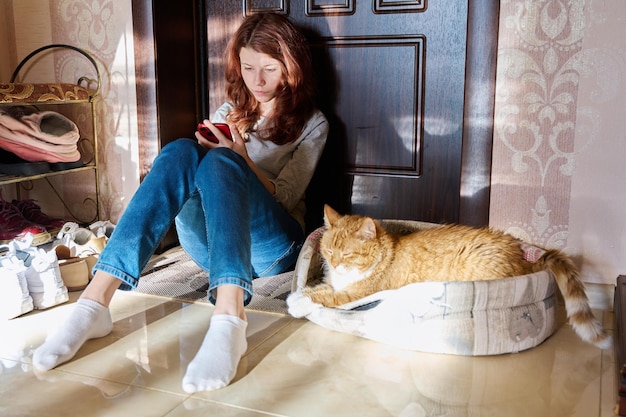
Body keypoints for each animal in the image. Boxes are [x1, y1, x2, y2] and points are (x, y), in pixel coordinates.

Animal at [288, 204, 608, 348]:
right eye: (329, 251)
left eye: (348, 255)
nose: (335, 264)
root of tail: (524, 260)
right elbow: (318, 287)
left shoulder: (354, 294)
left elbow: (323, 296)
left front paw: (296, 301)